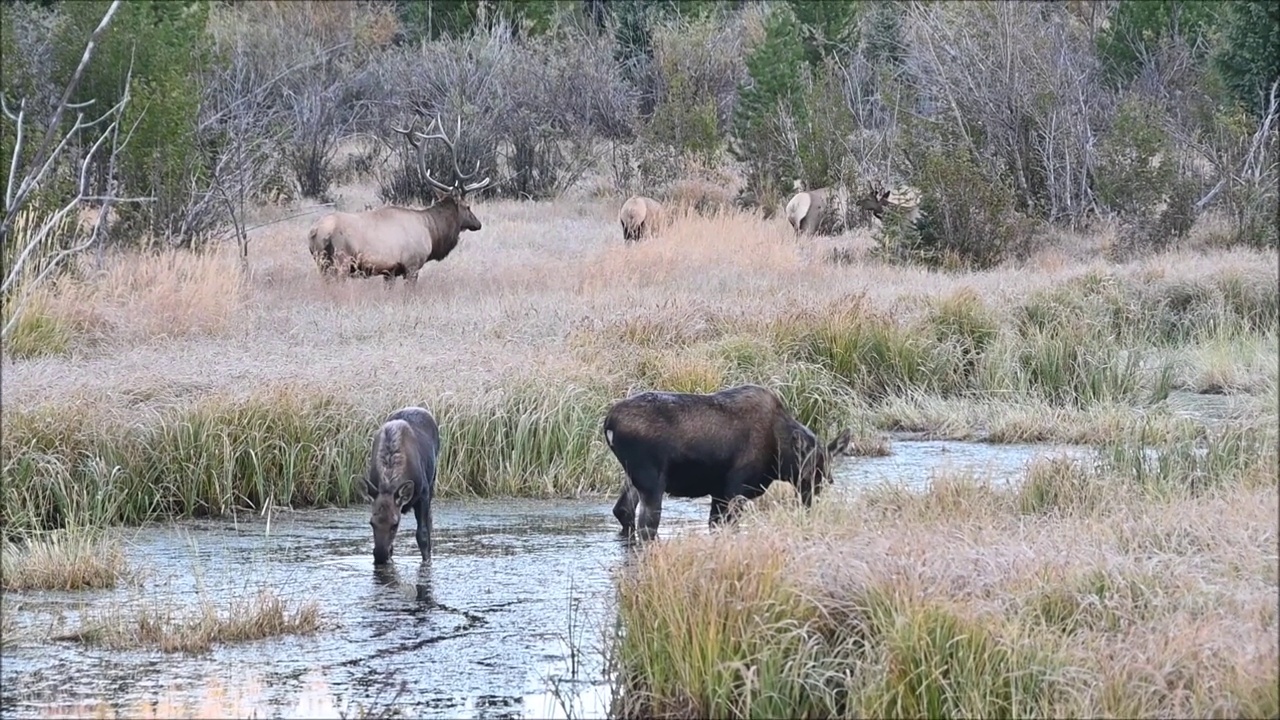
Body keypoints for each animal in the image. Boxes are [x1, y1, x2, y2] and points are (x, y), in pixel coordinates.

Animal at [307, 112, 491, 283]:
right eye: (468, 206)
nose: (478, 224)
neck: (431, 231)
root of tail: (316, 231)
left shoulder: (389, 272)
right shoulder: (412, 265)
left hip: (322, 263)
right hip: (342, 261)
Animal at [601, 384, 860, 535]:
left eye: (826, 478)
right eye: (807, 474)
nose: (809, 506)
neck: (778, 459)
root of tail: (608, 423)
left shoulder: (719, 492)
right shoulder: (735, 490)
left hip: (632, 478)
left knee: (622, 509)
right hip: (652, 481)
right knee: (647, 526)